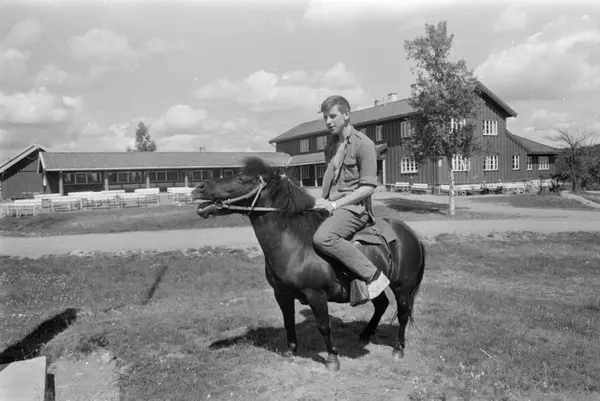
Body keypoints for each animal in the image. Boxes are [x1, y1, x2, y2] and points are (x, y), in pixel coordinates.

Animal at [191, 156, 426, 371]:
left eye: (242, 179)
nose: (199, 187)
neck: (295, 244)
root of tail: (410, 233)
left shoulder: (316, 295)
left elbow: (324, 326)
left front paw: (332, 359)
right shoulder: (282, 294)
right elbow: (288, 321)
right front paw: (290, 351)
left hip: (403, 287)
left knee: (403, 314)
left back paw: (398, 349)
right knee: (381, 305)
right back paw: (366, 334)